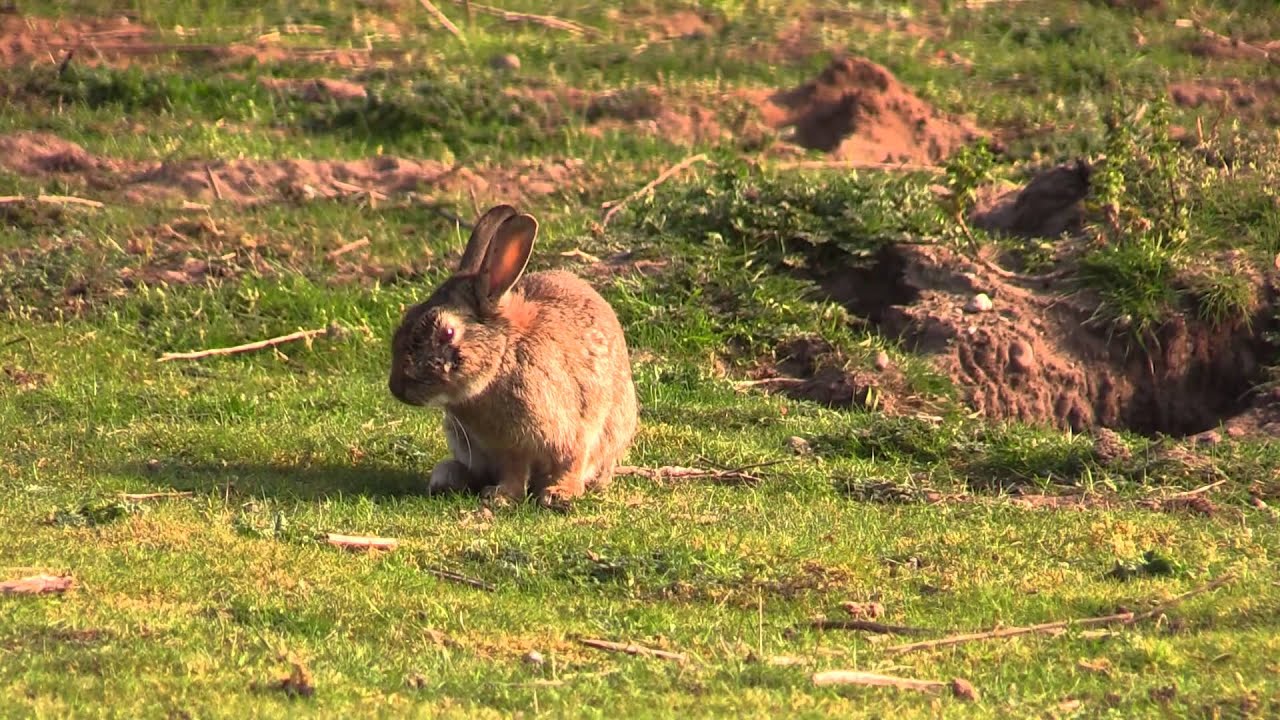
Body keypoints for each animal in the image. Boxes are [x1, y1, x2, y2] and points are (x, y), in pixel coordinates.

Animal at [388, 204, 638, 507]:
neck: (503, 361)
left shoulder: (575, 428)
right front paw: (502, 496)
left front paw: (559, 494)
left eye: (447, 332)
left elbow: (571, 461)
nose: (397, 388)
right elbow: (514, 471)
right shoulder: (508, 447)